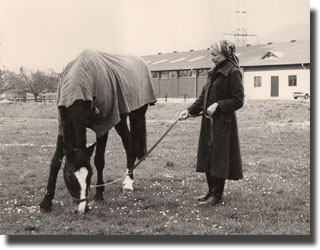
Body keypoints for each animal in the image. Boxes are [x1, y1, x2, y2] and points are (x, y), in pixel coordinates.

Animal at [39, 49, 158, 214]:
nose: (82, 209)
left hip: (137, 116)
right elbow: (55, 161)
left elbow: (99, 160)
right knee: (130, 147)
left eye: (90, 174)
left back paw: (128, 183)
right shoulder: (62, 126)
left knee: (133, 146)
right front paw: (46, 202)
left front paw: (99, 195)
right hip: (120, 120)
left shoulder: (103, 126)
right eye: (69, 176)